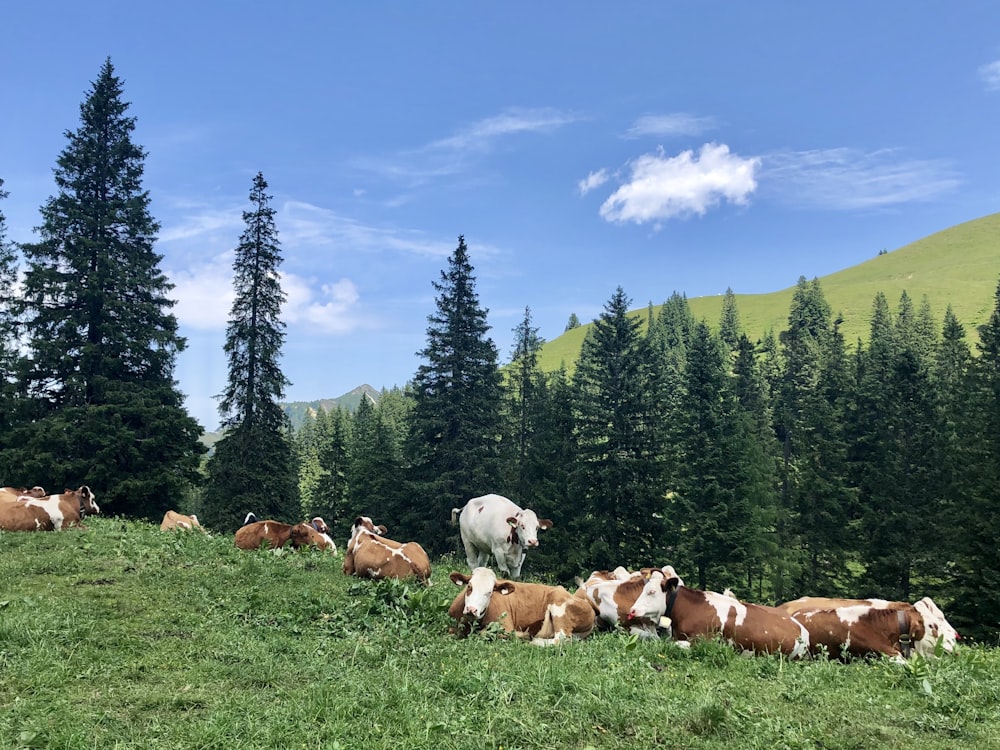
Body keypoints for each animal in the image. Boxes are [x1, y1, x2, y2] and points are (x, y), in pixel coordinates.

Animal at [448, 568, 592, 648]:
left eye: (490, 592)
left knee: (561, 639)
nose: (472, 609)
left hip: (559, 607)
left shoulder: (505, 627)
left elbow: (485, 633)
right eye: (469, 586)